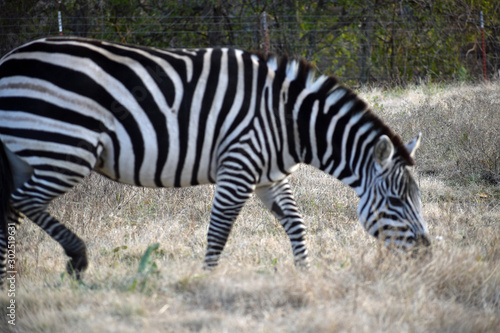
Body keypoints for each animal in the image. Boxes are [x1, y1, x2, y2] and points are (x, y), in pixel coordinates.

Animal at [0, 37, 430, 286]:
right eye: (396, 201)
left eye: (417, 199)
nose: (426, 251)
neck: (288, 122)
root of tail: (10, 58)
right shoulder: (238, 166)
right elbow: (219, 232)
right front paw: (205, 281)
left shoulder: (268, 175)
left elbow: (296, 222)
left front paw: (306, 276)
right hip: (64, 147)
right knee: (20, 201)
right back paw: (77, 258)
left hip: (32, 152)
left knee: (12, 209)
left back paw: (10, 278)